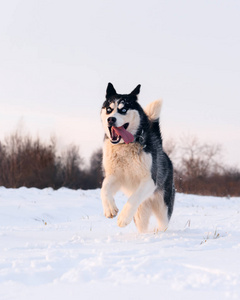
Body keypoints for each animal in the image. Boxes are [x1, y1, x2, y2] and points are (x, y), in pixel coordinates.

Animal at [100, 83, 174, 233]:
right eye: (109, 109)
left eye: (123, 109)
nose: (111, 119)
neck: (124, 146)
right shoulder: (115, 176)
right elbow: (104, 188)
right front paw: (109, 208)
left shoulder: (149, 180)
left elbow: (135, 197)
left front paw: (123, 218)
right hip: (141, 214)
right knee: (142, 226)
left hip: (163, 208)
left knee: (163, 223)